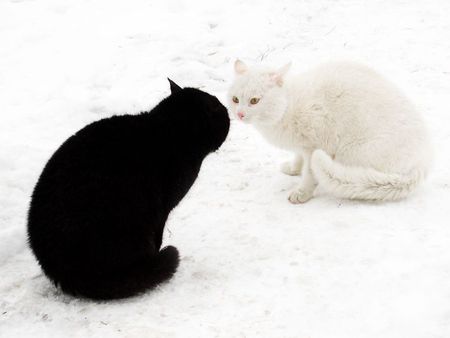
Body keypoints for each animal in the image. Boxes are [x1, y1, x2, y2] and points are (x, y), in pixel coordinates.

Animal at [27, 80, 230, 302]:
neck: (170, 130)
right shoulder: (162, 211)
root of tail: (60, 269)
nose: (229, 113)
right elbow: (158, 235)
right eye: (222, 113)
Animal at [229, 59, 432, 203]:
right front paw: (293, 169)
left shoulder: (315, 146)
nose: (239, 114)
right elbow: (298, 158)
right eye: (235, 99)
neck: (287, 106)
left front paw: (302, 193)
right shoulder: (302, 146)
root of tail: (422, 164)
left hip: (350, 152)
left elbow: (309, 174)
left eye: (254, 101)